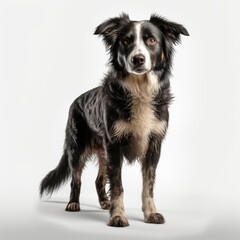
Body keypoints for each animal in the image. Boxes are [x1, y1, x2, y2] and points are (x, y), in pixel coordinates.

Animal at [39, 13, 189, 227]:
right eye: (126, 41)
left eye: (152, 40)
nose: (138, 59)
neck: (140, 89)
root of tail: (75, 101)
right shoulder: (114, 145)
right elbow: (118, 186)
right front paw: (118, 216)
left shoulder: (154, 144)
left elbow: (148, 185)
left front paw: (150, 213)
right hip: (77, 148)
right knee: (76, 178)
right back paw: (73, 203)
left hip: (103, 152)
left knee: (99, 180)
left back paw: (104, 202)